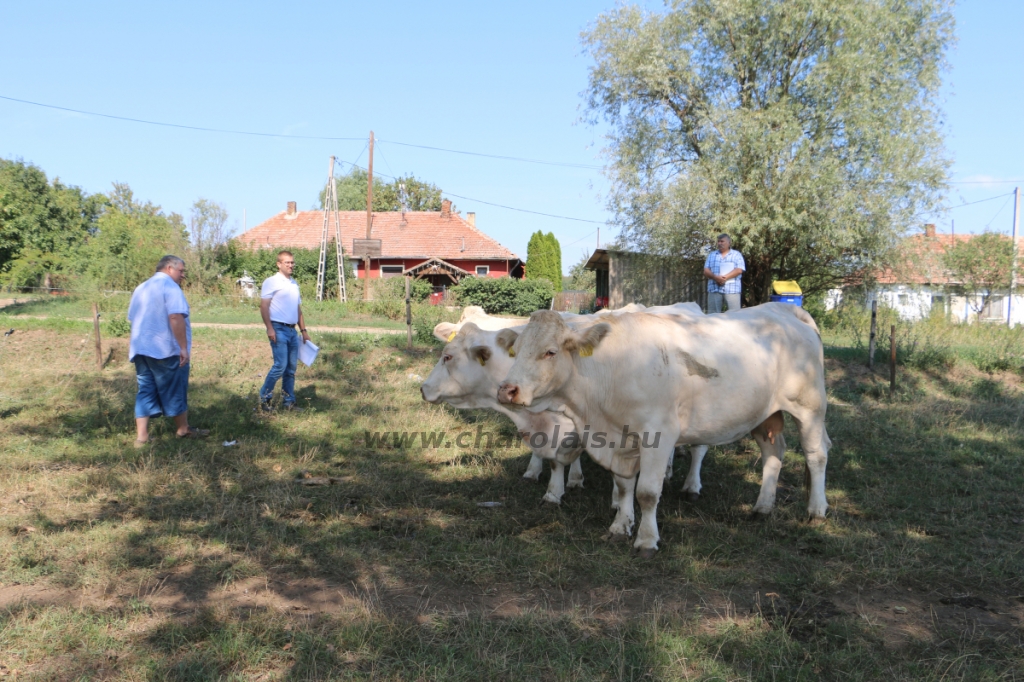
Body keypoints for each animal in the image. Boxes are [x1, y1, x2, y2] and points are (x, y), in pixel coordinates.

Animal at [497, 305, 831, 557]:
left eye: (550, 352)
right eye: (516, 351)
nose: (506, 390)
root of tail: (783, 309)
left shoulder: (659, 435)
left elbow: (646, 492)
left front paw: (646, 540)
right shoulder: (622, 440)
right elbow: (623, 487)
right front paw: (620, 527)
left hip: (810, 407)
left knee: (816, 455)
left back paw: (816, 509)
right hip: (766, 414)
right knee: (773, 453)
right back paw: (763, 506)